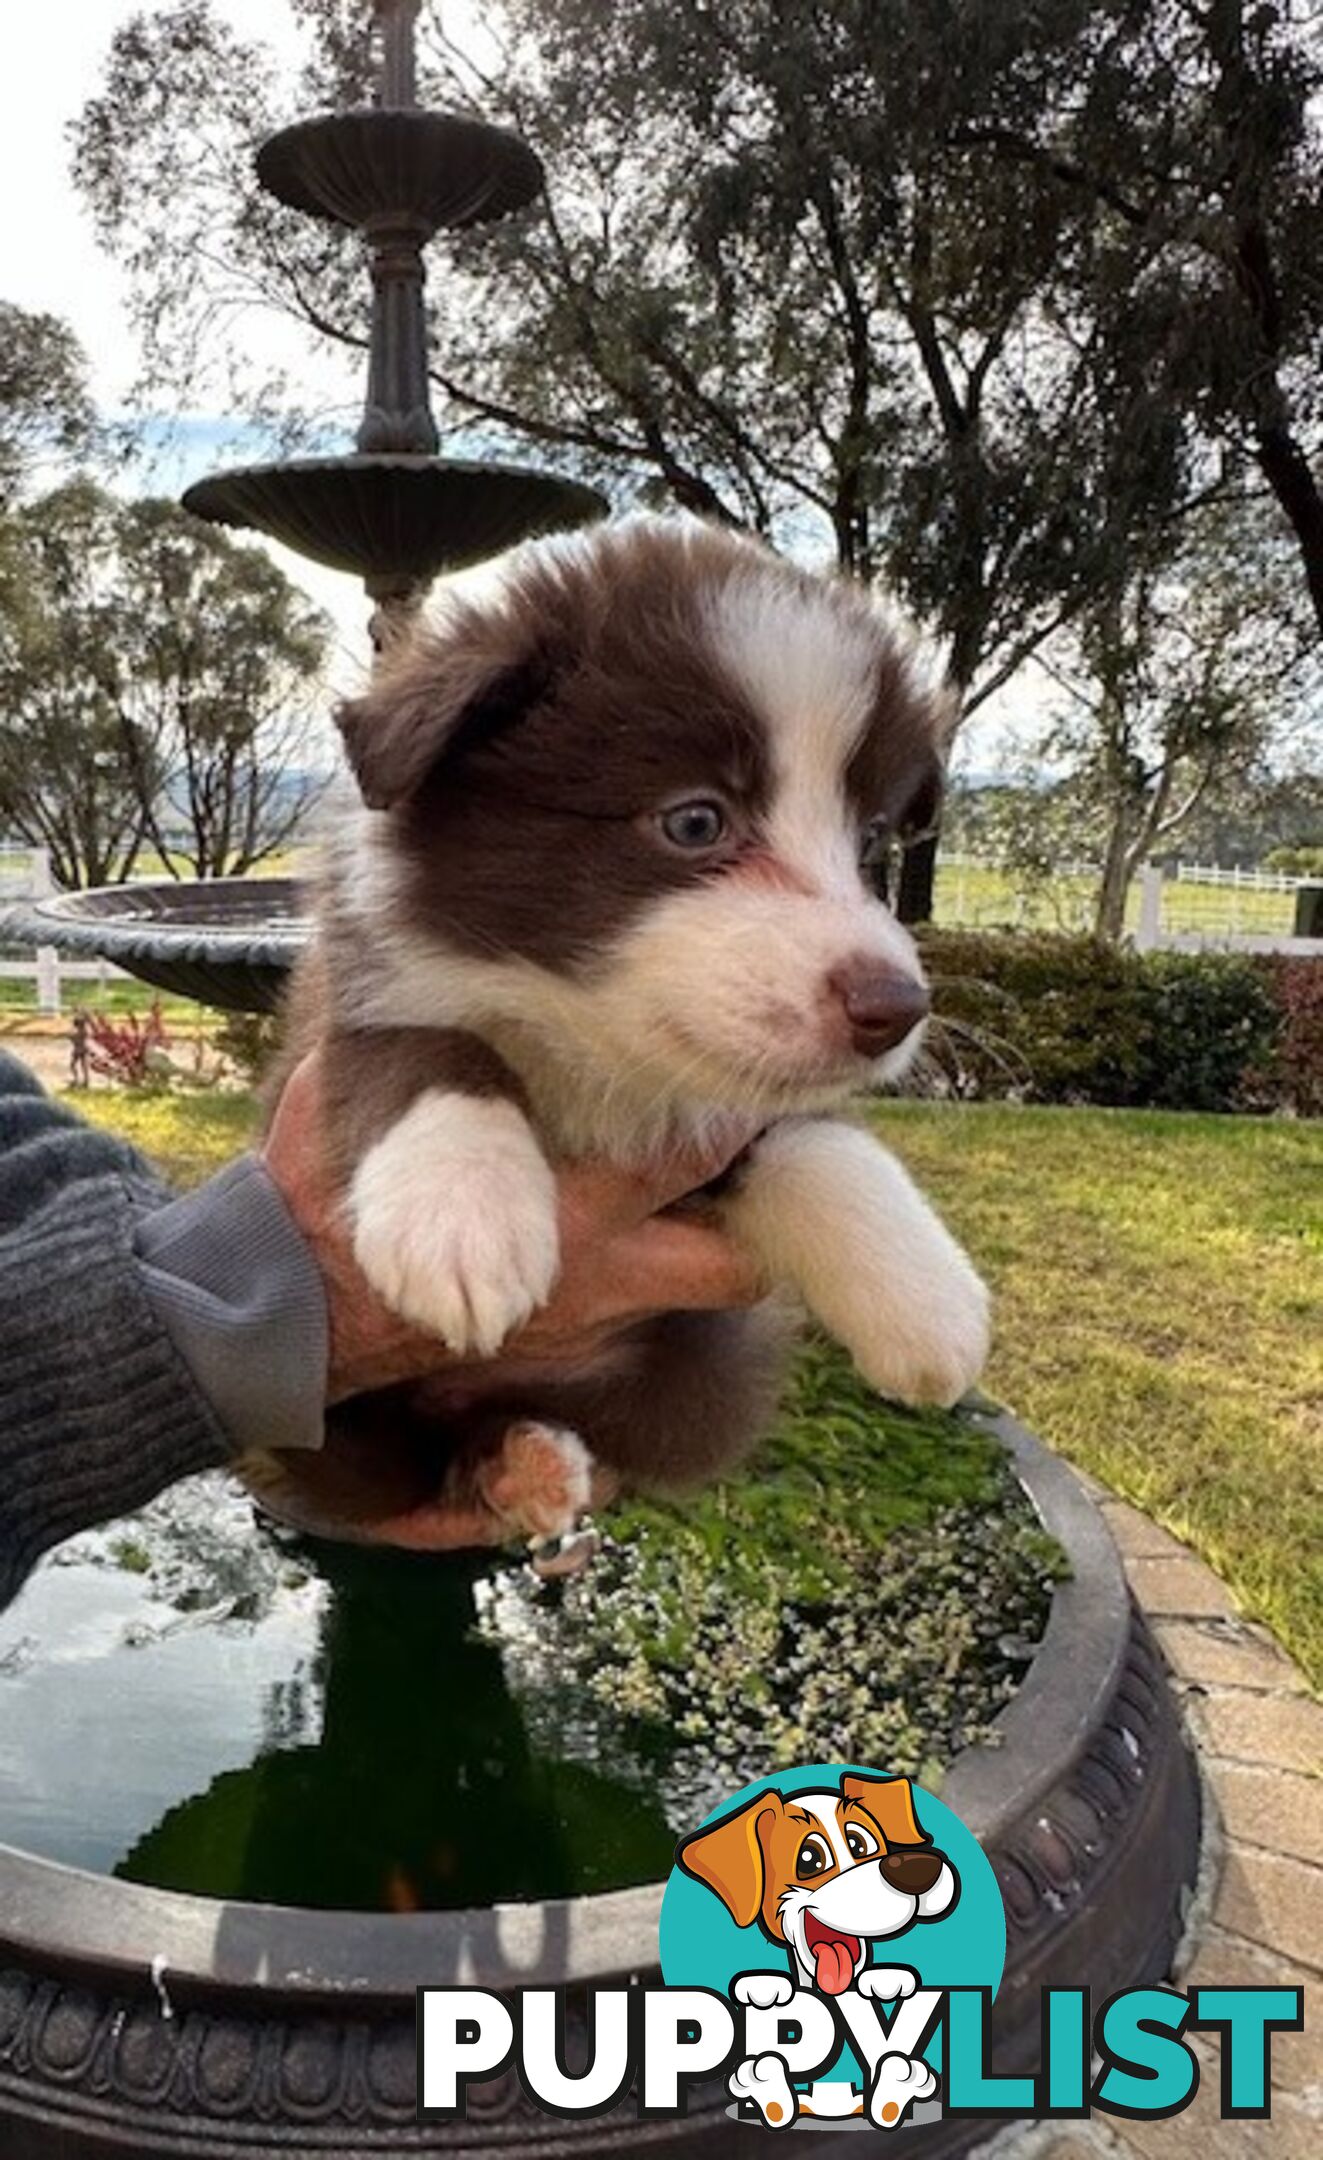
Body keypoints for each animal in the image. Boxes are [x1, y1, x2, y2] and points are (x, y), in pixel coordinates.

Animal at [252, 516, 985, 1563]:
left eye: (872, 845)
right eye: (694, 820)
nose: (897, 1007)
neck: (590, 1044)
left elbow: (814, 1137)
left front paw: (926, 1303)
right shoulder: (340, 1008)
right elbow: (420, 1048)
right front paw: (462, 1217)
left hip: (699, 1380)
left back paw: (527, 1462)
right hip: (316, 1419)